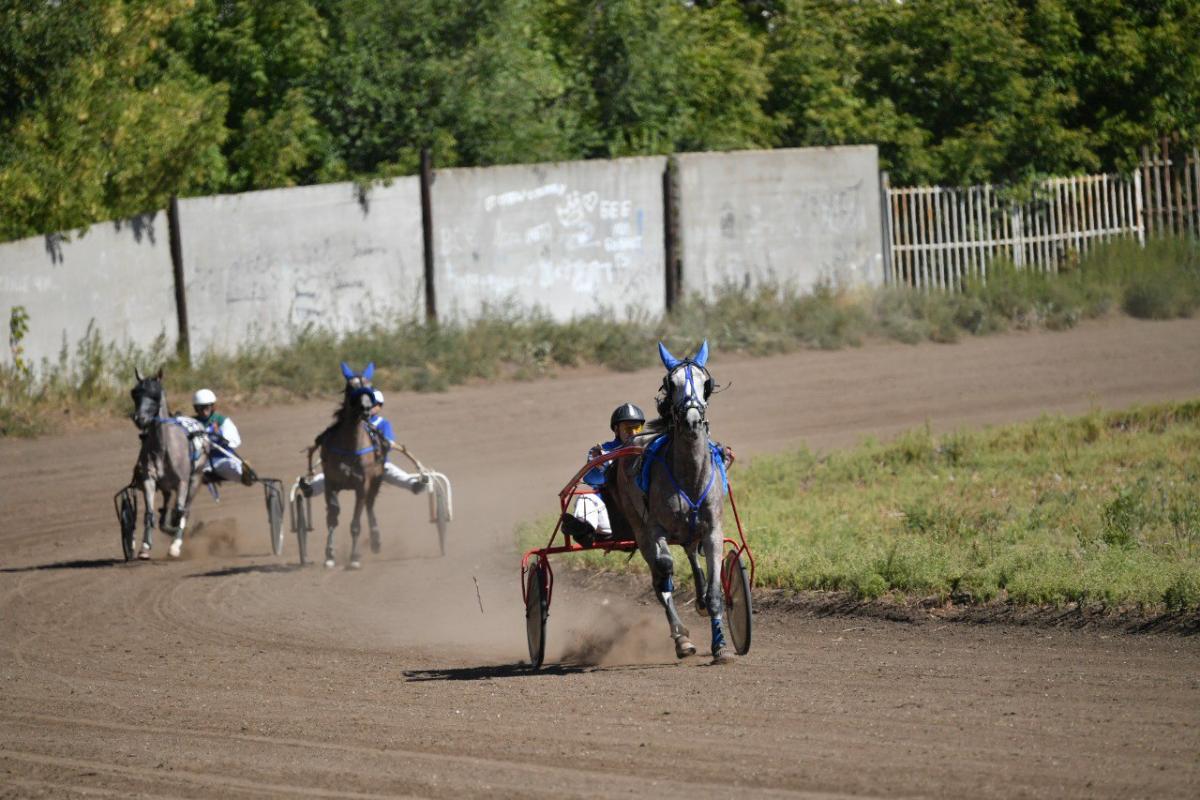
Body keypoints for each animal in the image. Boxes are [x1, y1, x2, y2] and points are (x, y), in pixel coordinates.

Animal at [126, 367, 208, 556]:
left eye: (155, 394)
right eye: (134, 392)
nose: (140, 419)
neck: (163, 449)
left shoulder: (183, 482)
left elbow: (180, 512)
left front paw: (175, 545)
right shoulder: (149, 479)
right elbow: (150, 512)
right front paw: (145, 546)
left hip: (195, 479)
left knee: (185, 510)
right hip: (167, 488)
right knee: (166, 513)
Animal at [609, 343, 729, 662]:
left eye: (705, 383)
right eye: (671, 383)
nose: (692, 420)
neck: (689, 475)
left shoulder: (713, 530)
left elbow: (715, 589)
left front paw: (720, 644)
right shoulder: (653, 529)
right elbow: (665, 570)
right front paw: (683, 638)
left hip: (689, 531)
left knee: (691, 553)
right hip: (639, 528)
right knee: (660, 578)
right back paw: (680, 637)